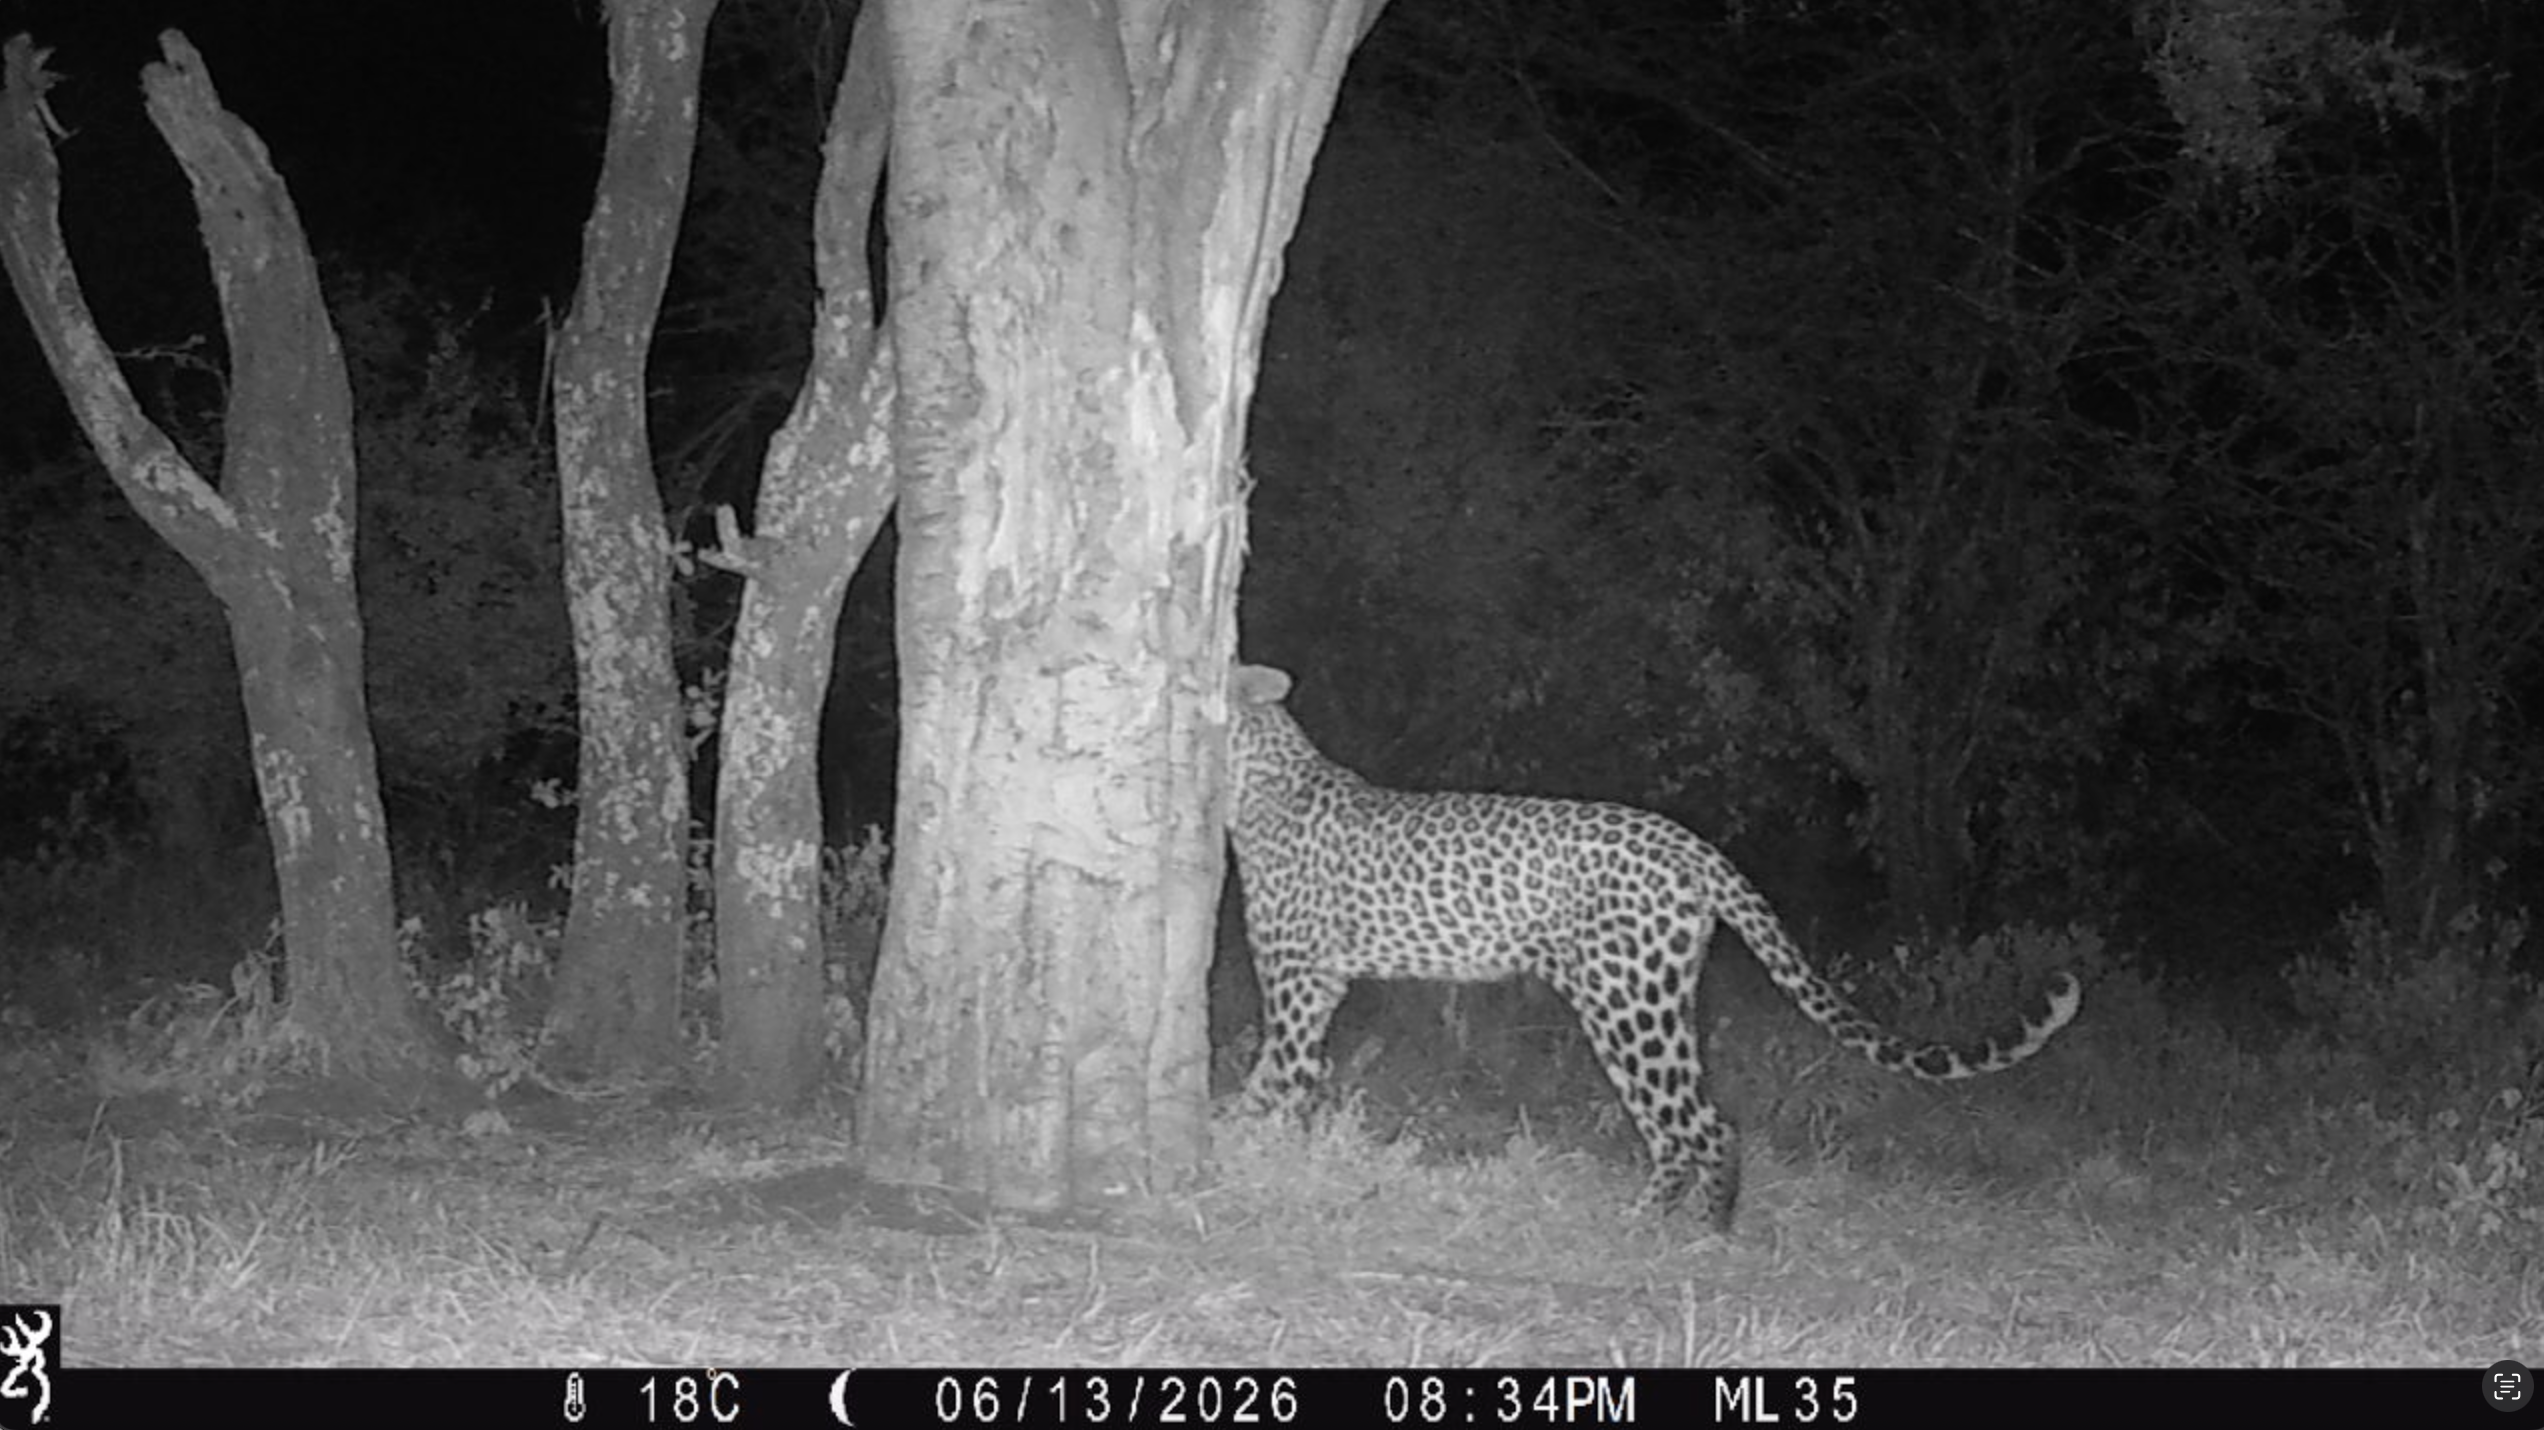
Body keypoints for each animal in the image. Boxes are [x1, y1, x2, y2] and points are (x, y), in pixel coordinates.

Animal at [1225, 662, 2081, 1231]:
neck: (1256, 775)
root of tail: (1689, 842)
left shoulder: (1296, 983)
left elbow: (1277, 1076)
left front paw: (1244, 1150)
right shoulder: (1319, 984)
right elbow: (1294, 1079)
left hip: (1626, 1000)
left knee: (1704, 1123)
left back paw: (1706, 1232)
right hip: (1642, 1001)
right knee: (1675, 1124)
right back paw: (1651, 1216)